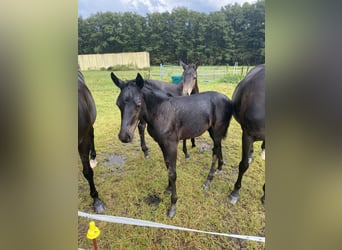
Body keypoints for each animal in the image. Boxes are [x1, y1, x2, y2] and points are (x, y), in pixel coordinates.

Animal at [112, 73, 232, 218]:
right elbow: (168, 166)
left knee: (214, 151)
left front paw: (173, 206)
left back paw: (208, 181)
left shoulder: (172, 145)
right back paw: (220, 167)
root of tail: (228, 100)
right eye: (118, 104)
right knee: (218, 147)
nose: (124, 136)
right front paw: (169, 188)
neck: (162, 112)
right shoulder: (162, 144)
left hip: (217, 130)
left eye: (138, 104)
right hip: (213, 131)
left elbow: (173, 173)